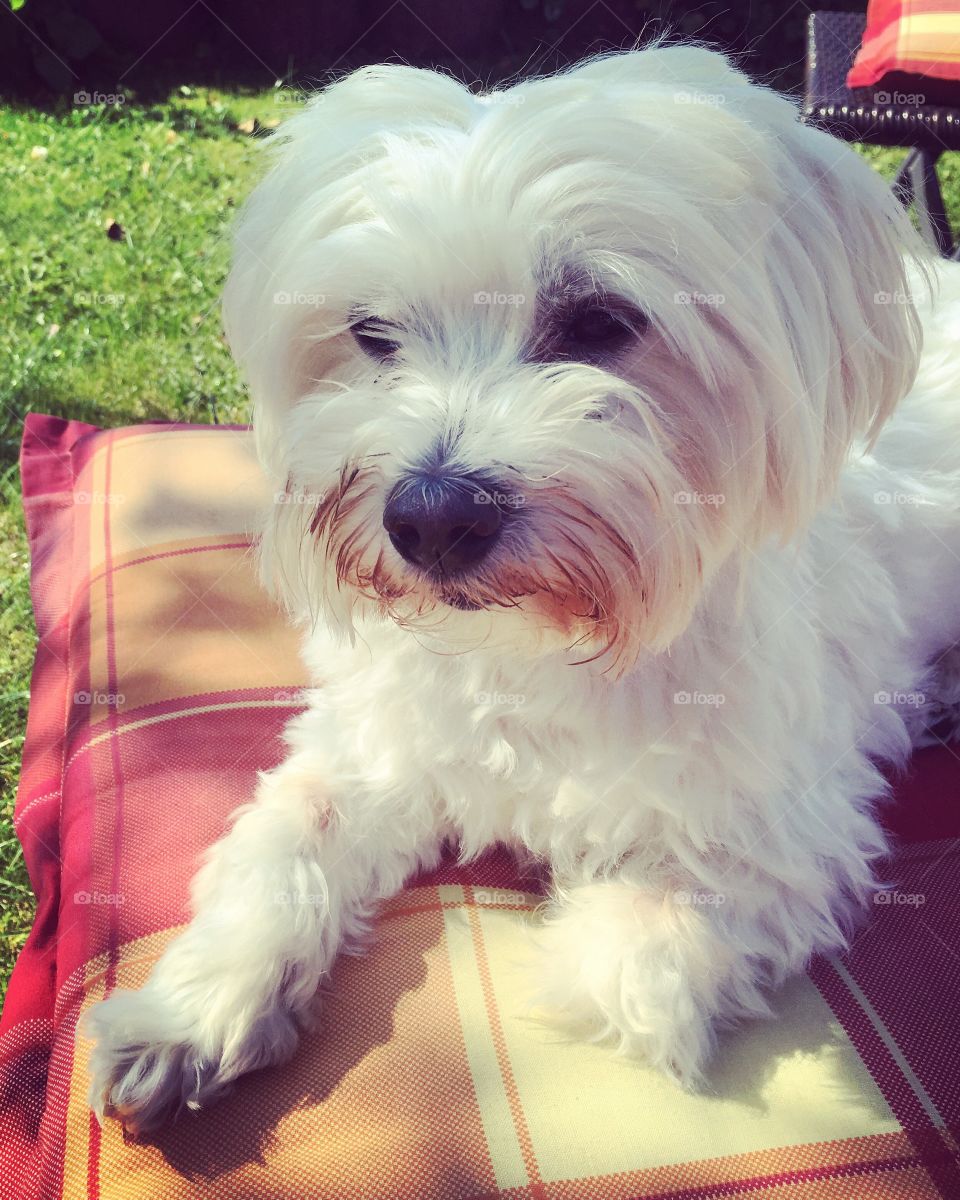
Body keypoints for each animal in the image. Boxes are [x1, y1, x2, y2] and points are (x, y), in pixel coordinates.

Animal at [86, 49, 955, 1132]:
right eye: (372, 333)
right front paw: (185, 1014)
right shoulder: (373, 745)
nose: (431, 517)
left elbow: (625, 956)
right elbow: (283, 839)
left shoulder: (784, 835)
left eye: (601, 322)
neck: (535, 641)